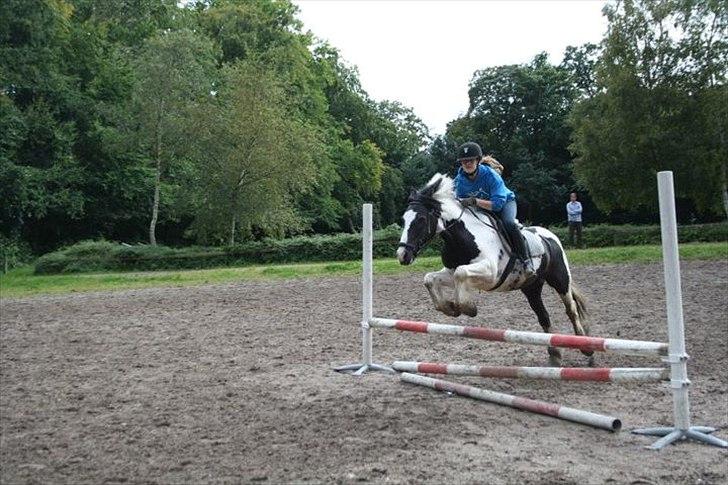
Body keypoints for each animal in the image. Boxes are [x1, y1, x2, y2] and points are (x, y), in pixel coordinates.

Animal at [398, 172, 592, 364]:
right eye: (404, 219)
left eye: (421, 219)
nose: (402, 255)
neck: (462, 236)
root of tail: (551, 236)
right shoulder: (450, 271)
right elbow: (430, 278)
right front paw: (449, 307)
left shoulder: (491, 273)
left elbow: (461, 273)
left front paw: (468, 307)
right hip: (531, 287)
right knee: (543, 315)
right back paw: (555, 354)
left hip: (560, 280)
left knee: (571, 310)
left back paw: (586, 348)